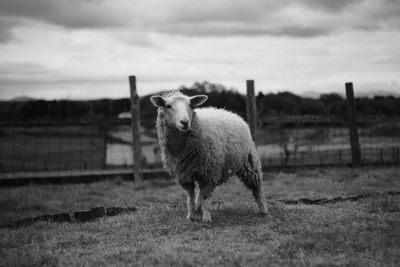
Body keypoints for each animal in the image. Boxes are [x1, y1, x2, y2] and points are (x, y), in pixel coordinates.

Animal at [150, 91, 268, 223]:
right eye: (168, 106)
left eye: (190, 105)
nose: (185, 122)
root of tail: (229, 112)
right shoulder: (185, 175)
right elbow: (190, 197)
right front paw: (190, 215)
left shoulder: (208, 173)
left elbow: (206, 196)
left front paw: (206, 218)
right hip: (220, 169)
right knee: (203, 191)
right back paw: (198, 207)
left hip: (248, 162)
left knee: (256, 187)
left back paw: (263, 209)